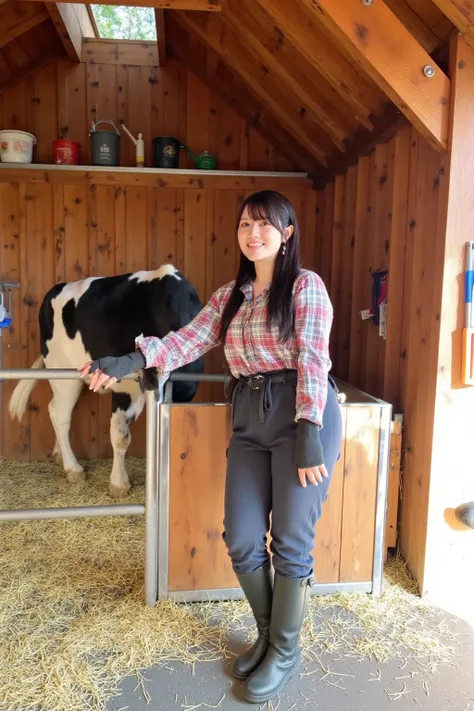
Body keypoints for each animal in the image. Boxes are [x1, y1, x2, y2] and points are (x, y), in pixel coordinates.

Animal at [7, 264, 204, 498]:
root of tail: (53, 291)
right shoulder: (125, 388)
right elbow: (120, 437)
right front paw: (119, 484)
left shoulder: (184, 390)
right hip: (61, 371)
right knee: (59, 414)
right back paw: (73, 468)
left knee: (57, 408)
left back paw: (58, 455)